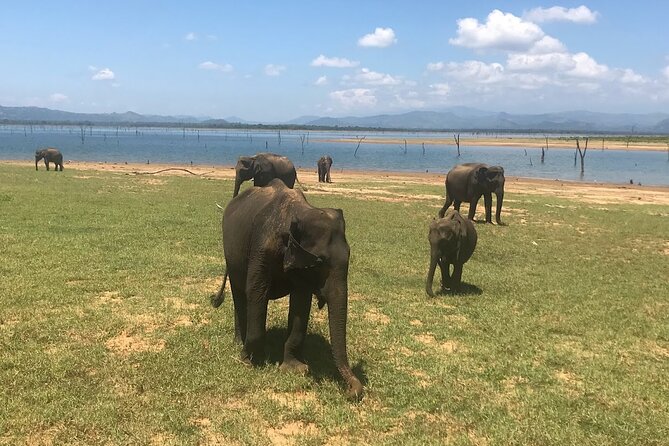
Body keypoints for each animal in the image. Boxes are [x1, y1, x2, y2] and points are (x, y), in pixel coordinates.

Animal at [211, 178, 363, 399]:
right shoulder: (262, 246)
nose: (351, 391)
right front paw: (247, 360)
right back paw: (239, 342)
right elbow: (256, 292)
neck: (298, 212)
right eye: (319, 262)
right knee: (240, 293)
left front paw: (295, 369)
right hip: (231, 255)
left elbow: (301, 301)